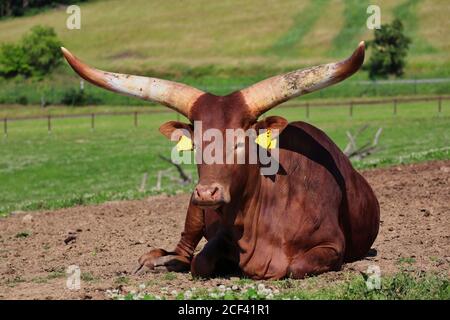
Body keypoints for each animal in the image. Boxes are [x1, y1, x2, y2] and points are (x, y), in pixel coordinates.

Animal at [62, 42, 380, 280]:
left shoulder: (332, 245)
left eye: (241, 142)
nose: (207, 193)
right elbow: (200, 262)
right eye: (196, 145)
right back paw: (158, 261)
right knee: (183, 251)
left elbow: (295, 267)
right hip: (193, 211)